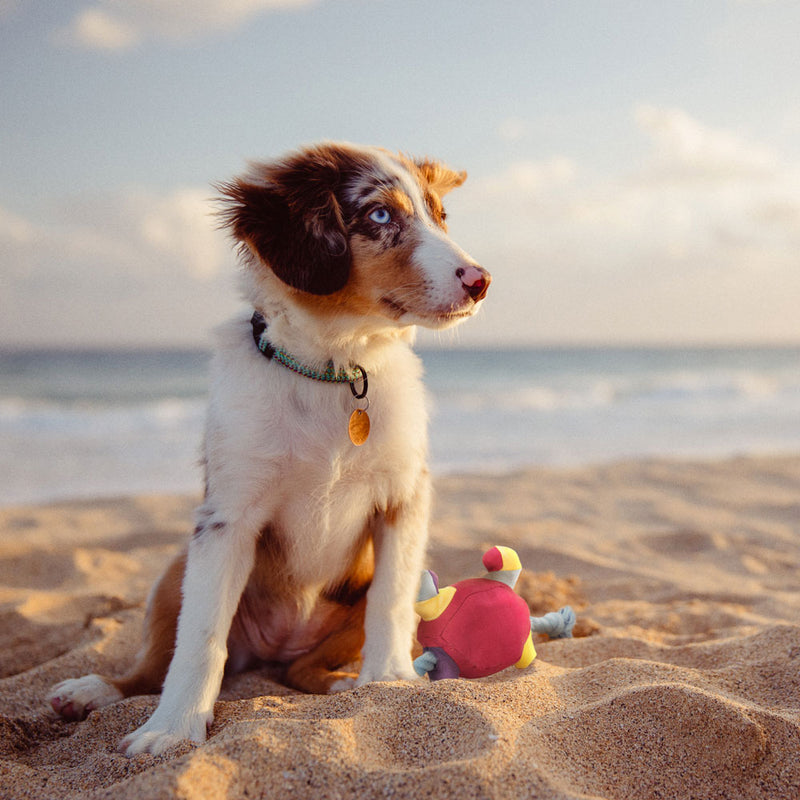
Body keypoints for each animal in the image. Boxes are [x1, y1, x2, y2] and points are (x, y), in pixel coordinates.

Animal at [50, 142, 490, 756]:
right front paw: (172, 728)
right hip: (172, 574)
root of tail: (275, 647)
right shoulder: (228, 516)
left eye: (441, 216)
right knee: (152, 667)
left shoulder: (404, 497)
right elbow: (200, 637)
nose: (481, 280)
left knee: (302, 671)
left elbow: (391, 598)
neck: (334, 370)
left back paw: (344, 684)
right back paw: (94, 691)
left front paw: (390, 680)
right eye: (380, 215)